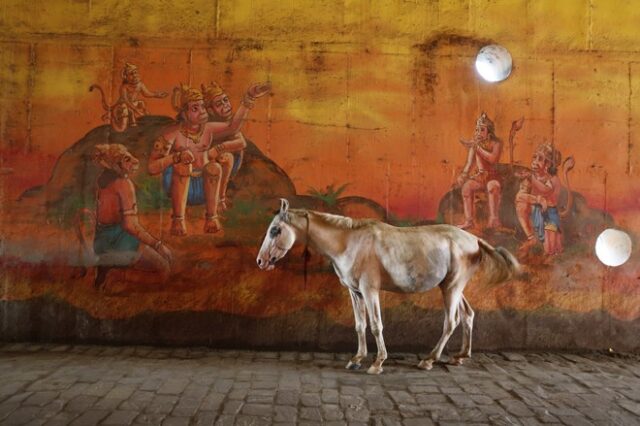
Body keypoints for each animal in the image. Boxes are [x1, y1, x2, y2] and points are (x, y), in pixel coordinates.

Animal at [255, 199, 520, 372]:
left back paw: (428, 360)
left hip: (452, 288)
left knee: (451, 321)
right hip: (452, 287)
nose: (261, 261)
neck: (350, 242)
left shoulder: (370, 290)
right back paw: (460, 357)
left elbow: (376, 325)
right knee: (468, 315)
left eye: (275, 230)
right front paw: (356, 359)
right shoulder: (355, 292)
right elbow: (360, 325)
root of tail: (474, 240)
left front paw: (377, 362)